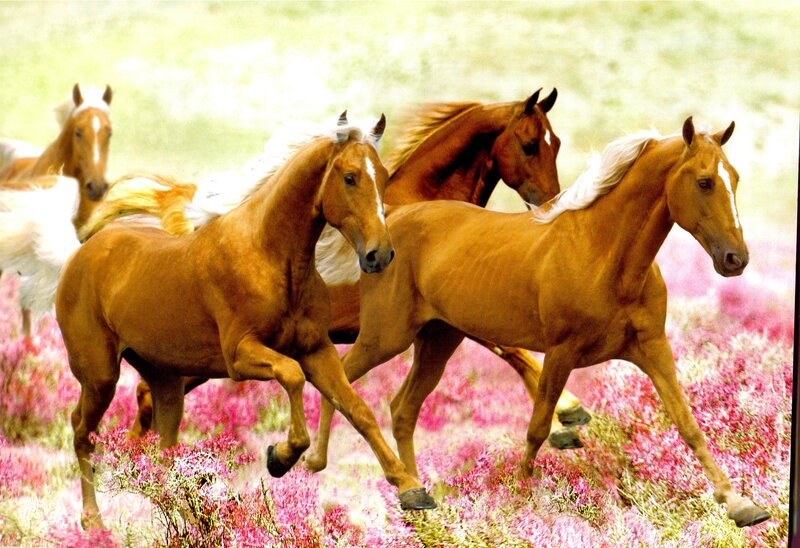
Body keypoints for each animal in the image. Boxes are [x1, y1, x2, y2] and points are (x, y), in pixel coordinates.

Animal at [54, 114, 436, 530]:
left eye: (382, 176)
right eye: (350, 177)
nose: (379, 255)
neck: (269, 256)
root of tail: (82, 252)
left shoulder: (318, 351)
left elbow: (357, 408)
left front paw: (411, 489)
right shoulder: (240, 356)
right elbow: (292, 376)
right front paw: (280, 457)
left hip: (166, 381)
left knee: (161, 450)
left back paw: (187, 516)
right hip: (100, 375)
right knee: (82, 430)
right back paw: (95, 520)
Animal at [316, 117, 770, 528]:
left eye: (735, 178)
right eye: (705, 182)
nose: (736, 259)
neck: (603, 254)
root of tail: (389, 221)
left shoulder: (653, 349)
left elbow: (688, 423)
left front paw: (741, 505)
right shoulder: (560, 353)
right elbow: (536, 427)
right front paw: (520, 500)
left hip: (438, 341)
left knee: (402, 410)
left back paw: (416, 500)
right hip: (384, 338)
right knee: (338, 384)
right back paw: (319, 462)